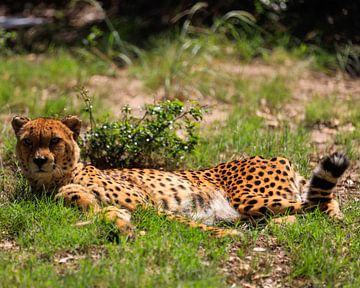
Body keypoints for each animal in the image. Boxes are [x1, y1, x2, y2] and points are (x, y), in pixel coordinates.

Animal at [12, 116, 350, 237]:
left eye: (54, 140)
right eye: (28, 141)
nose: (40, 160)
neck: (56, 179)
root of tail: (275, 157)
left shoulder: (147, 206)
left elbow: (183, 222)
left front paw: (225, 236)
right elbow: (101, 211)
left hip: (249, 198)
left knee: (319, 205)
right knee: (312, 207)